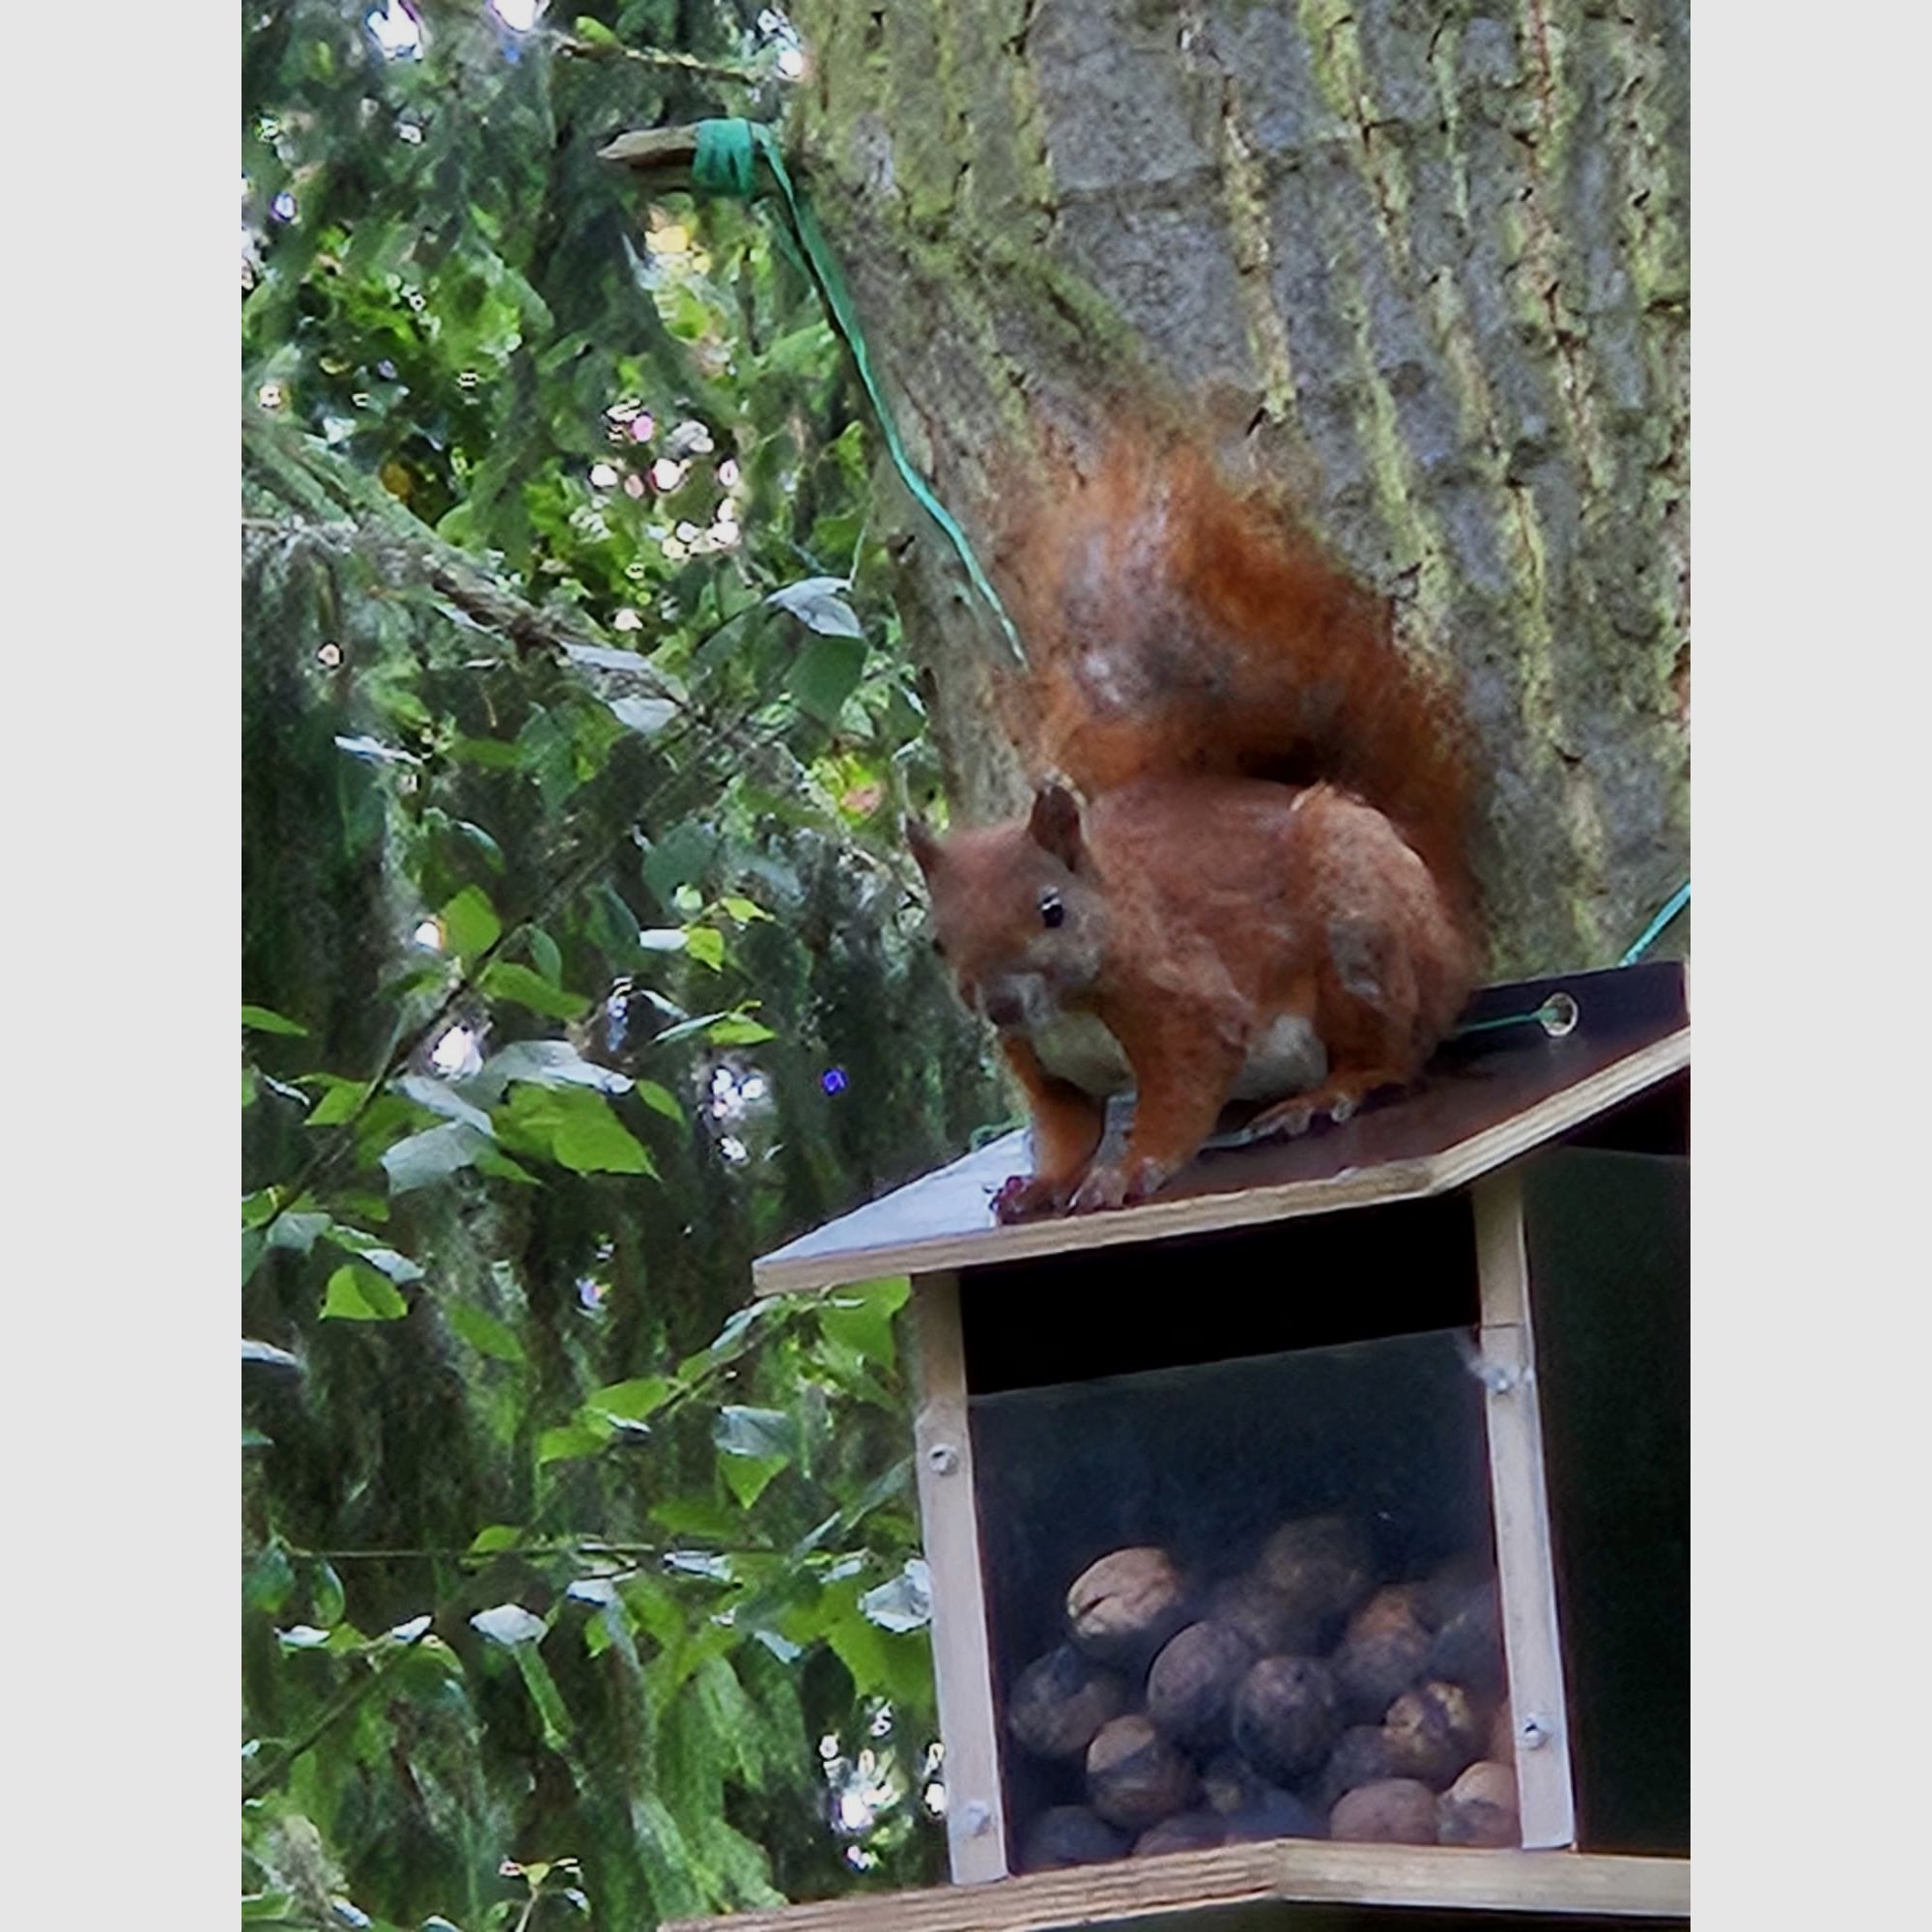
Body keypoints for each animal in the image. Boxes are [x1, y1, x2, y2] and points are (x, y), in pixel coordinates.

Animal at [907, 431, 1483, 1222]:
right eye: (938, 940)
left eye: (1052, 910)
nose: (998, 1003)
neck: (1069, 1007)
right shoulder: (1042, 1062)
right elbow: (1065, 1130)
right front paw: (1042, 1185)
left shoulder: (1186, 1003)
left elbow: (1181, 1092)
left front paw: (1125, 1171)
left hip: (1361, 934)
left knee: (1392, 1054)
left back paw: (1324, 1095)